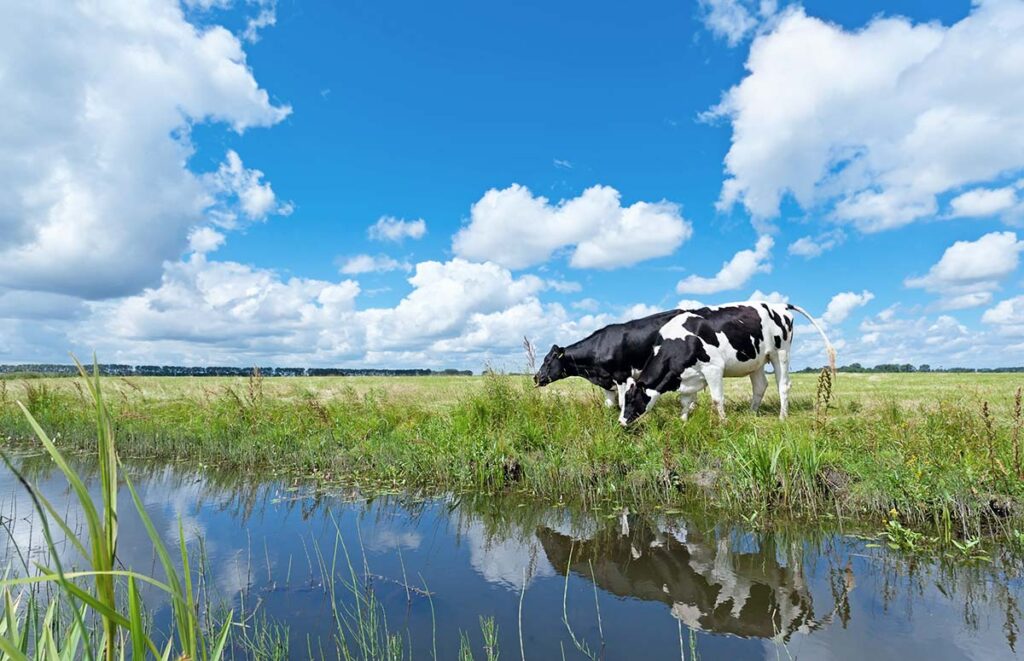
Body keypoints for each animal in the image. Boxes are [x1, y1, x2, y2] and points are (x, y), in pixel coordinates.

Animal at [619, 302, 836, 426]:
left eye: (631, 399)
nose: (621, 422)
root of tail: (780, 305)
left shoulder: (713, 368)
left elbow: (717, 399)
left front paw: (723, 423)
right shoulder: (687, 376)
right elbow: (685, 401)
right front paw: (683, 421)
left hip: (780, 352)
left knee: (783, 385)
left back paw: (782, 417)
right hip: (757, 360)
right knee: (760, 386)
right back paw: (751, 413)